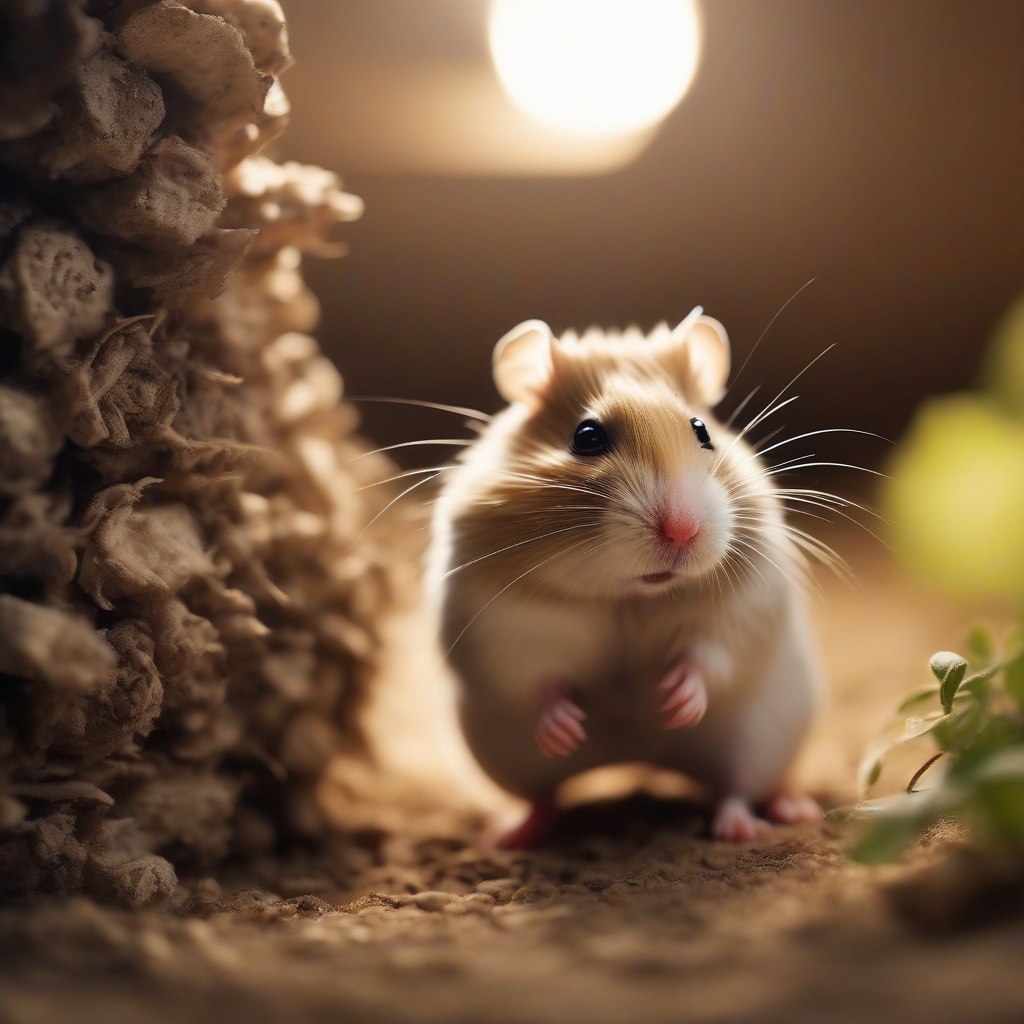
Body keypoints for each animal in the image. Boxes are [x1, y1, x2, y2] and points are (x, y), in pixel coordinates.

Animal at [428, 308, 823, 845]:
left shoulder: (746, 603)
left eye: (702, 429)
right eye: (587, 437)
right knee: (544, 797)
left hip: (761, 739)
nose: (681, 531)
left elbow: (710, 654)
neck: (630, 594)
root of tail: (644, 764)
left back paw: (767, 822)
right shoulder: (499, 621)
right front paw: (567, 728)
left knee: (739, 790)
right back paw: (510, 834)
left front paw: (673, 704)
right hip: (508, 758)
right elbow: (536, 676)